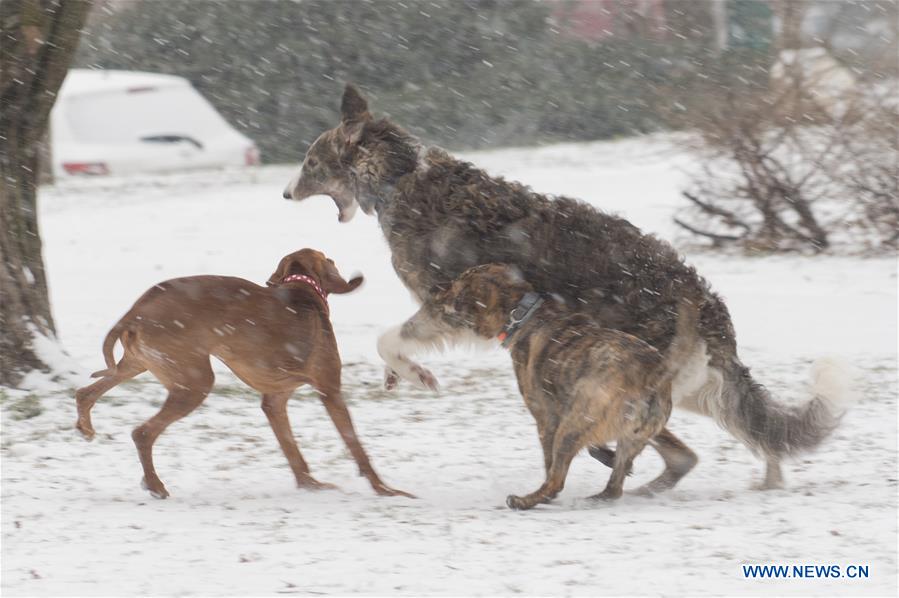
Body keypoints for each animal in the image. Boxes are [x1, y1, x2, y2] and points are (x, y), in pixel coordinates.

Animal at [75, 248, 414, 502]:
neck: (302, 289)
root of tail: (135, 312)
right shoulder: (330, 390)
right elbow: (357, 447)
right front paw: (384, 490)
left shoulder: (274, 400)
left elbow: (291, 449)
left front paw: (310, 485)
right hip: (195, 381)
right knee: (142, 433)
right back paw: (156, 486)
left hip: (137, 365)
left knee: (85, 392)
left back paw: (85, 427)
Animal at [376, 266, 700, 510]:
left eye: (458, 288)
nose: (435, 291)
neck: (524, 312)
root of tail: (650, 374)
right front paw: (606, 457)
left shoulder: (548, 415)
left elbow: (553, 461)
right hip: (624, 432)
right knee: (614, 488)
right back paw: (598, 495)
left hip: (573, 424)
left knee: (556, 480)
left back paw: (526, 500)